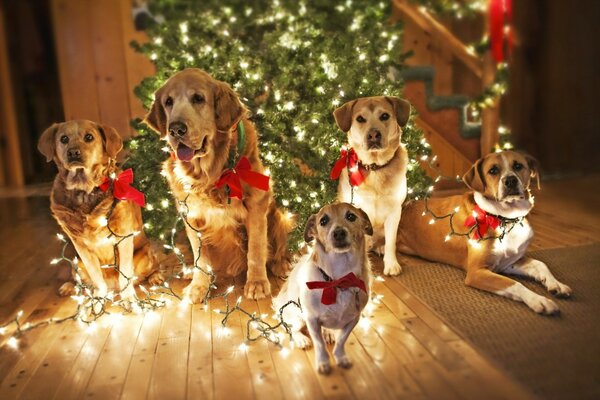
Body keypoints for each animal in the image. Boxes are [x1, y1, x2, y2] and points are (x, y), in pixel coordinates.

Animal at [39, 120, 163, 298]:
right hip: (77, 263)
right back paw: (71, 287)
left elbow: (125, 272)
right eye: (64, 139)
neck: (85, 191)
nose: (73, 153)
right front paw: (99, 296)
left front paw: (128, 297)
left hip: (145, 254)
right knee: (81, 280)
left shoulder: (123, 238)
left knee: (150, 268)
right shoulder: (81, 247)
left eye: (89, 137)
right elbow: (95, 274)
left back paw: (155, 277)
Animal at [148, 68, 292, 300]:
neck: (209, 174)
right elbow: (200, 257)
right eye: (168, 102)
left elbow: (256, 249)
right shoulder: (191, 216)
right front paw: (199, 286)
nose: (176, 130)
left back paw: (282, 265)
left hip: (278, 217)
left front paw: (257, 283)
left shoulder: (256, 205)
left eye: (198, 98)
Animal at [276, 203, 370, 376]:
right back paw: (301, 339)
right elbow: (319, 344)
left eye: (351, 216)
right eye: (323, 221)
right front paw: (323, 363)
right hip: (297, 316)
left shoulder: (353, 319)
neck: (338, 279)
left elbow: (341, 341)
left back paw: (327, 333)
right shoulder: (311, 319)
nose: (338, 232)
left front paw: (341, 357)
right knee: (291, 328)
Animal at [332, 95, 412, 276]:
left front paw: (391, 264)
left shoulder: (394, 210)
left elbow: (391, 241)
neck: (375, 168)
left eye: (384, 116)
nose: (374, 134)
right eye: (360, 119)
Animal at [398, 151, 572, 316]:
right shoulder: (477, 272)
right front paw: (539, 300)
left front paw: (556, 284)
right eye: (493, 170)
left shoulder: (507, 262)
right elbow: (515, 284)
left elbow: (540, 264)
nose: (510, 180)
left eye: (518, 166)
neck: (505, 218)